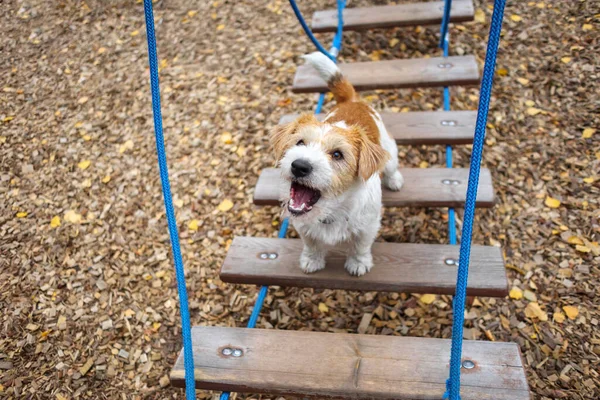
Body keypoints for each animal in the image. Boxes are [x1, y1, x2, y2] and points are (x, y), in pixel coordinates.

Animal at [270, 51, 404, 276]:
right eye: (300, 142)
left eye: (338, 155)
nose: (299, 166)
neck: (332, 209)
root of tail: (353, 101)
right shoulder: (305, 228)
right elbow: (312, 244)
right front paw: (312, 260)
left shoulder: (367, 227)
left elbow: (360, 246)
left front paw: (358, 263)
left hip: (390, 153)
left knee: (392, 167)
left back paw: (395, 180)